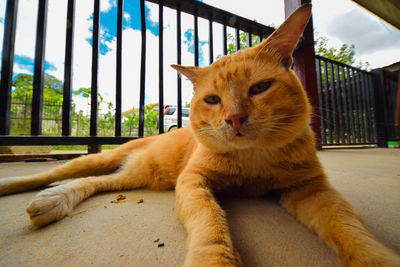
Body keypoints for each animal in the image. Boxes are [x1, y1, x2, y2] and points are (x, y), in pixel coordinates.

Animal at [0, 4, 400, 267]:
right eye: (212, 100)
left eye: (260, 88)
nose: (234, 117)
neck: (254, 159)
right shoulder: (194, 181)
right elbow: (209, 223)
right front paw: (214, 260)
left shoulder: (310, 189)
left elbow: (349, 227)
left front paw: (376, 258)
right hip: (103, 159)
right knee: (56, 174)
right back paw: (32, 192)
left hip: (135, 175)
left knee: (97, 183)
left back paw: (53, 202)